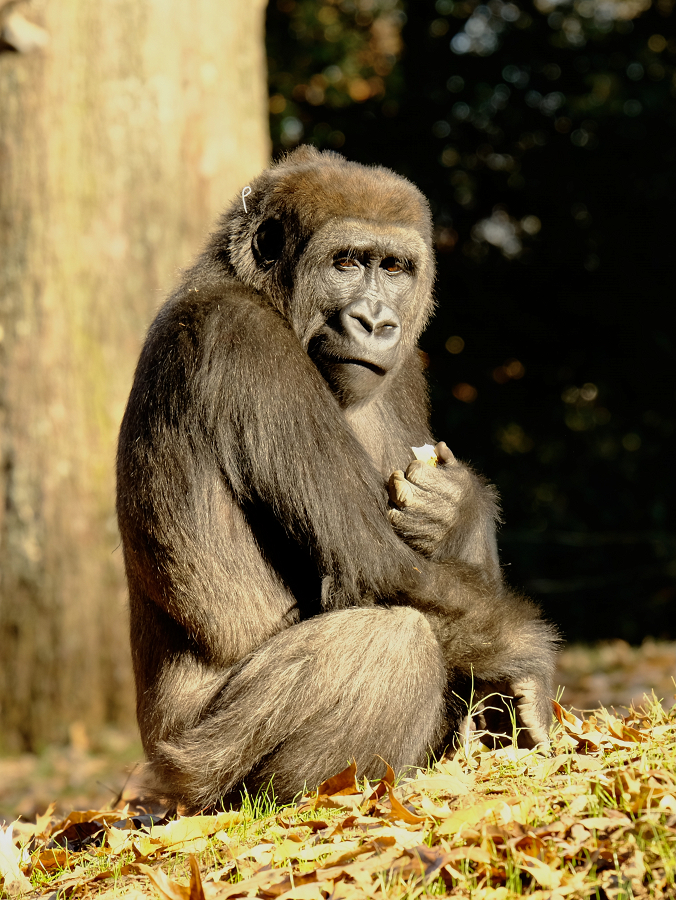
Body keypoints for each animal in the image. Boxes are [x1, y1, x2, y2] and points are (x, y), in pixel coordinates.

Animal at [117, 144, 560, 812]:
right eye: (347, 261)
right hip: (197, 769)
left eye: (395, 268)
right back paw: (316, 799)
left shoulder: (407, 369)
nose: (376, 321)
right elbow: (379, 568)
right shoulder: (242, 336)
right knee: (396, 637)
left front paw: (456, 507)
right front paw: (533, 659)